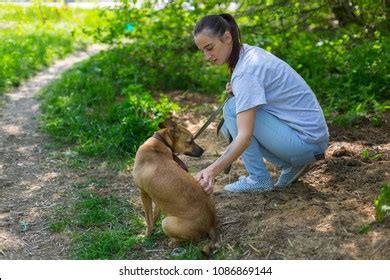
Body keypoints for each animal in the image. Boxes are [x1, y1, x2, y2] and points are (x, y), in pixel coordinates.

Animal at [133, 118, 215, 254]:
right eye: (190, 141)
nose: (203, 151)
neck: (158, 144)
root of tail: (211, 224)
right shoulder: (157, 198)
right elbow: (154, 215)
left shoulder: (144, 193)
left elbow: (149, 220)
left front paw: (146, 236)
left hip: (167, 223)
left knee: (195, 239)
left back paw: (174, 242)